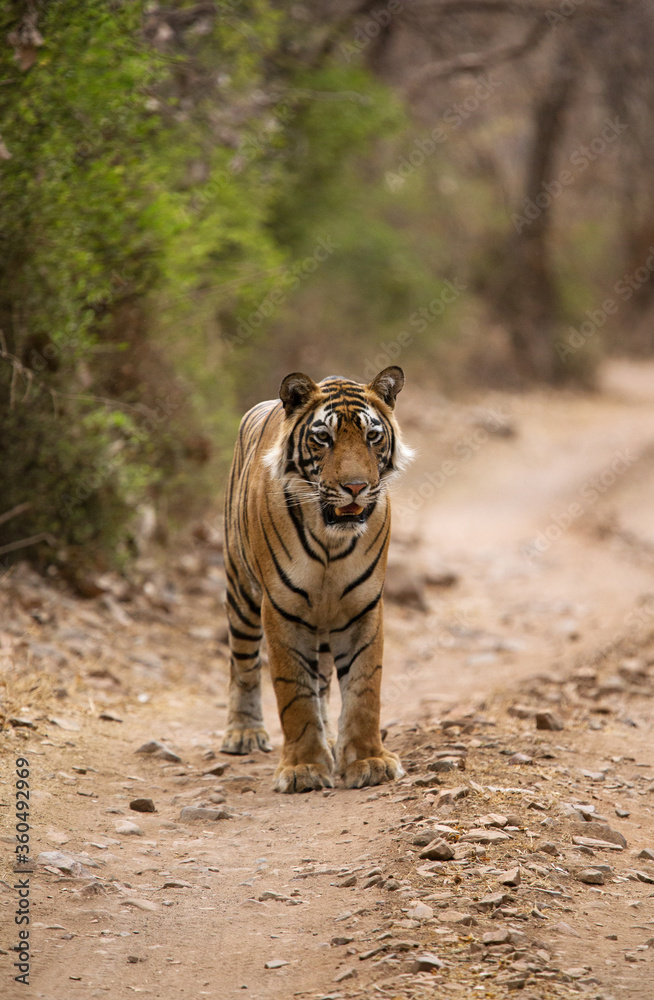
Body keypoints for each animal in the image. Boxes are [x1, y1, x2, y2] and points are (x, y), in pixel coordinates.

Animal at [220, 365, 413, 793]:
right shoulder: (281, 609)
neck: (331, 540)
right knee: (243, 664)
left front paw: (369, 760)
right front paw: (303, 768)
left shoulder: (362, 607)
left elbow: (363, 689)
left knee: (322, 681)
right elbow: (294, 693)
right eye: (323, 438)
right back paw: (243, 733)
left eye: (372, 437)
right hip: (241, 592)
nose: (356, 487)